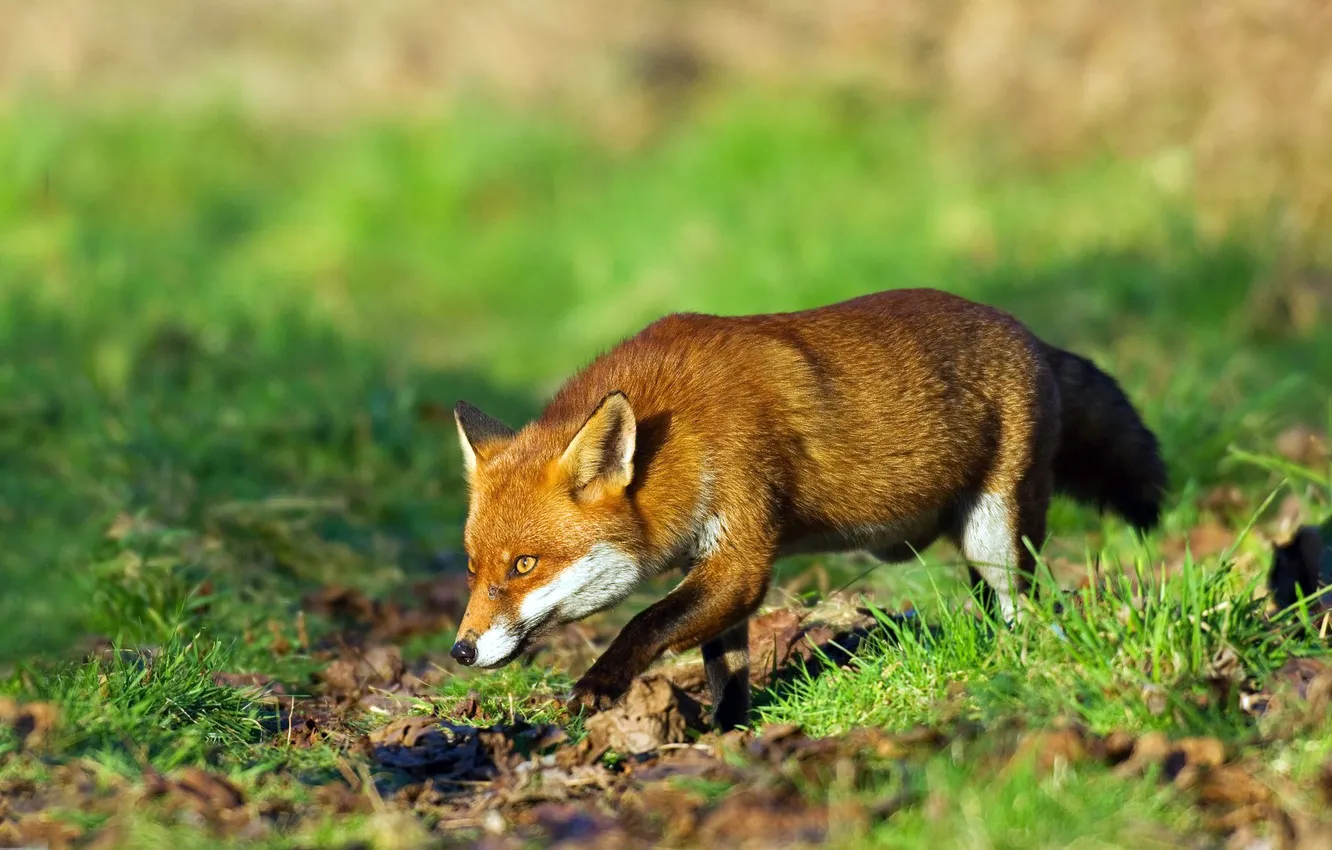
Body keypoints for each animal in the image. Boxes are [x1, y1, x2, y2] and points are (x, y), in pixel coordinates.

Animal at [448, 288, 1167, 730]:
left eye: (524, 565)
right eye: (473, 569)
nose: (461, 651)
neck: (680, 435)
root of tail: (1030, 335)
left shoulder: (741, 553)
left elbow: (645, 623)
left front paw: (600, 684)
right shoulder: (720, 570)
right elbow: (725, 669)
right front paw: (726, 734)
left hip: (999, 539)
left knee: (1031, 612)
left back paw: (1015, 666)